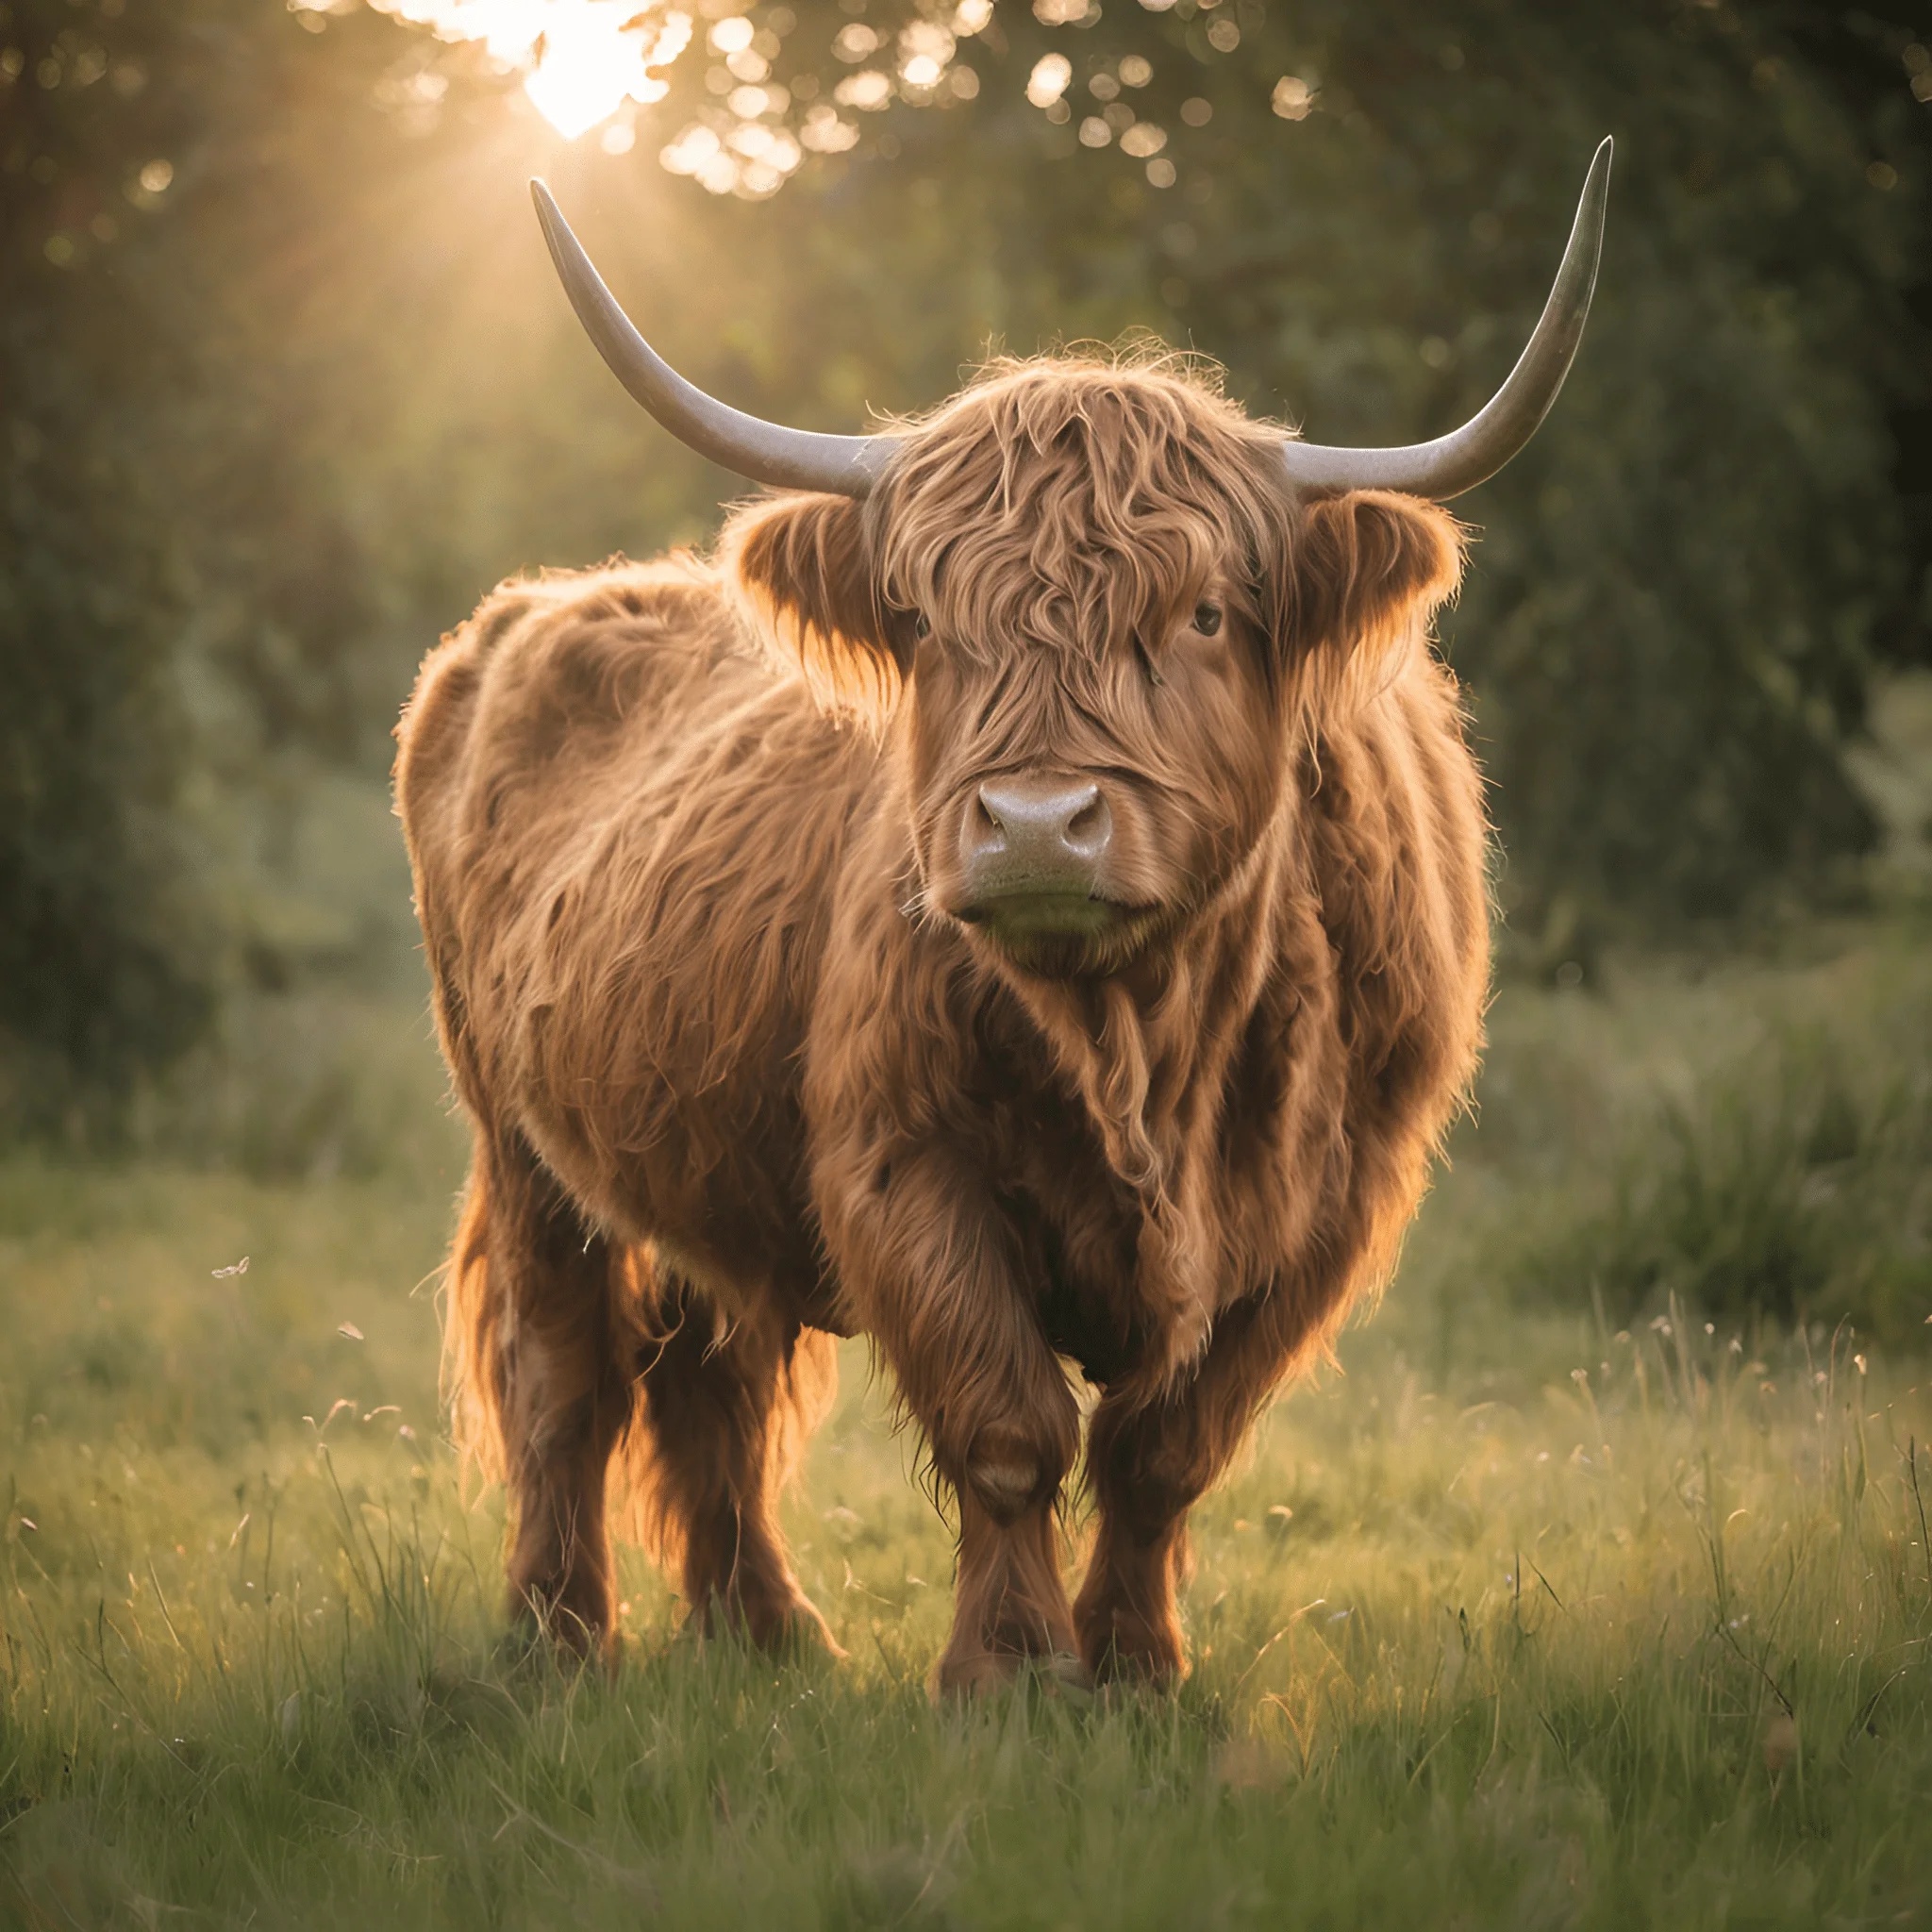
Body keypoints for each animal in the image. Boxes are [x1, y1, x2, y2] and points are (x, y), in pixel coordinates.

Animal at [394, 142, 1610, 1692]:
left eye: (1205, 614)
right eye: (922, 619)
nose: (1036, 823)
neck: (1143, 1046)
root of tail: (523, 615)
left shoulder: (1327, 1211)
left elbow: (1165, 1452)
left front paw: (1139, 1669)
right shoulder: (901, 1164)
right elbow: (1011, 1430)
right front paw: (1011, 1674)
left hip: (701, 1150)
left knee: (709, 1381)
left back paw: (768, 1636)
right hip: (523, 1143)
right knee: (563, 1377)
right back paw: (557, 1638)